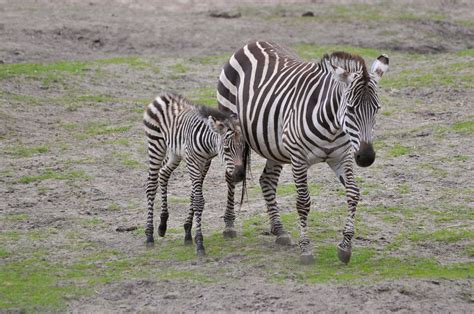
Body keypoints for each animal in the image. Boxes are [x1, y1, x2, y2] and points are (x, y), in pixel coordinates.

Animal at [143, 92, 246, 255]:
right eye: (227, 149)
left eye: (243, 148)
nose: (240, 175)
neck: (208, 144)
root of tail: (164, 95)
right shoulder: (193, 162)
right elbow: (198, 200)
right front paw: (199, 243)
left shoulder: (204, 163)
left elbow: (193, 196)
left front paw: (187, 233)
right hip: (156, 143)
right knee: (151, 186)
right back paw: (149, 235)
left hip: (175, 153)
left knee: (163, 173)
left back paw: (163, 224)